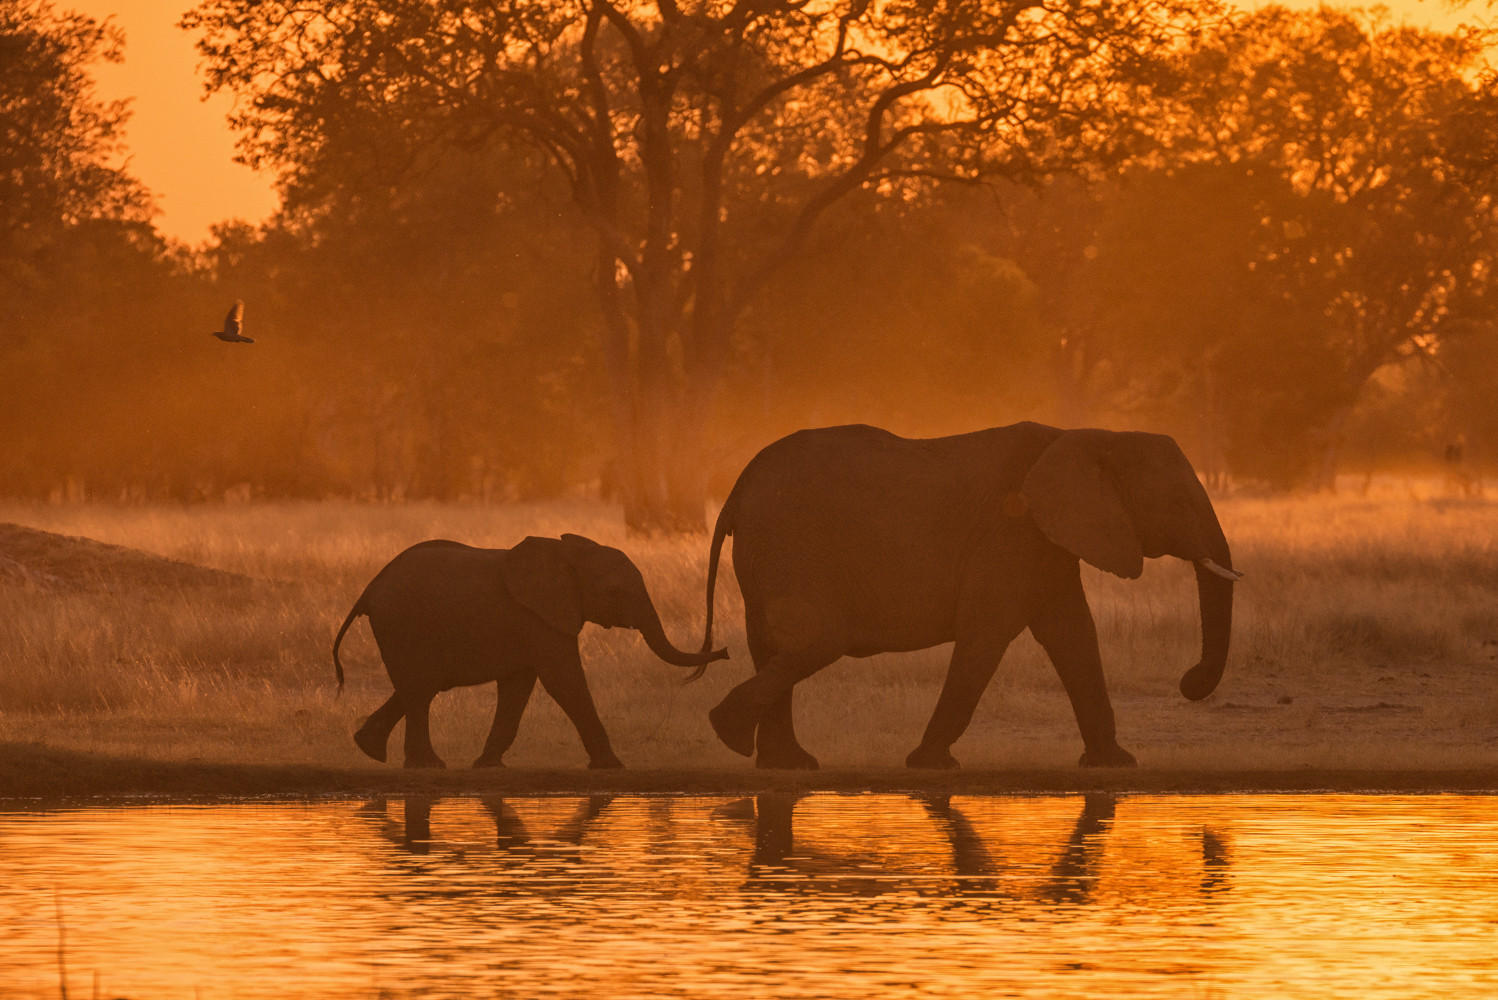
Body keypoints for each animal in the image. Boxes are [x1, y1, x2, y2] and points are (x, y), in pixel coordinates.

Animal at [332, 535, 725, 772]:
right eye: (615, 592)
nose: (723, 651)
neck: (568, 552)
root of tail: (369, 589)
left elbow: (518, 685)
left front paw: (488, 766)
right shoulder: (540, 617)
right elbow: (563, 681)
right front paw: (612, 766)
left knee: (419, 686)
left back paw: (370, 749)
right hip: (402, 624)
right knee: (420, 688)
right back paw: (427, 765)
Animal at [701, 425, 1240, 772]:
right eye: (1177, 503)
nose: (1189, 682)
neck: (1095, 435)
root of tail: (737, 489)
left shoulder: (1045, 541)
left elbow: (1073, 636)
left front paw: (1115, 765)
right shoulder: (1012, 530)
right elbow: (987, 636)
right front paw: (930, 766)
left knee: (776, 646)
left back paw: (784, 764)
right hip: (788, 546)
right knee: (816, 641)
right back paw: (731, 734)